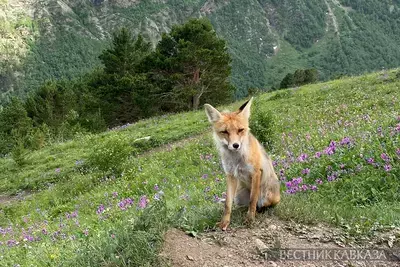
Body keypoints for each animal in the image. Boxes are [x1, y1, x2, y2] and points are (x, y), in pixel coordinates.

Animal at [205, 97, 280, 231]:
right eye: (225, 132)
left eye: (240, 130)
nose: (235, 145)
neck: (236, 160)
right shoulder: (230, 175)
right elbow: (227, 204)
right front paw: (225, 222)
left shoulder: (256, 172)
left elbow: (252, 200)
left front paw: (250, 220)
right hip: (238, 197)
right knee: (241, 205)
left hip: (268, 197)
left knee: (261, 205)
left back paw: (259, 212)